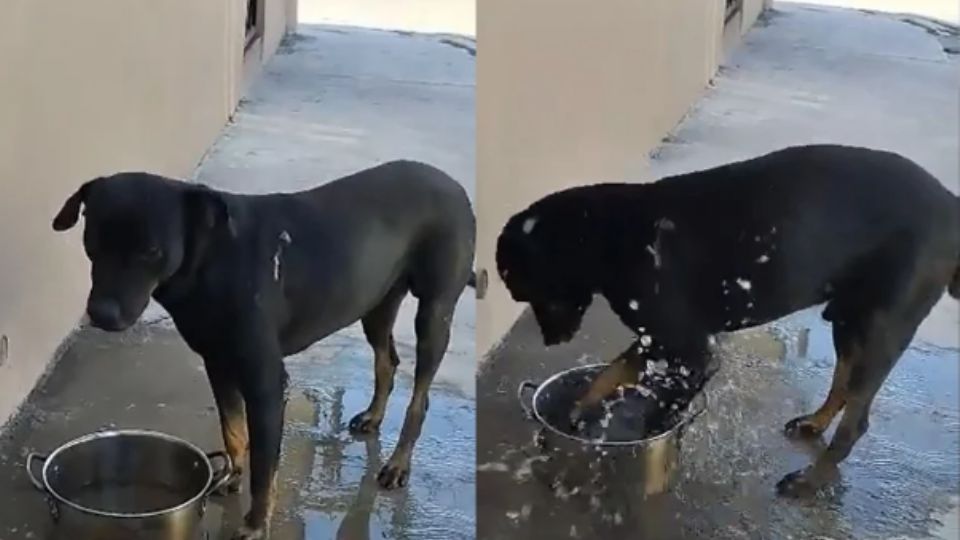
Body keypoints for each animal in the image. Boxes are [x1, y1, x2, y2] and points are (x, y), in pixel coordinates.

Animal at [54, 161, 474, 540]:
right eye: (92, 242)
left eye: (150, 250)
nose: (101, 314)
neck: (212, 259)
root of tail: (453, 184)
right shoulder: (218, 363)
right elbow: (233, 431)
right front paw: (231, 477)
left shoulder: (267, 384)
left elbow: (264, 467)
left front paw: (255, 525)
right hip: (376, 303)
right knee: (387, 360)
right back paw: (373, 416)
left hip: (434, 313)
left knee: (419, 398)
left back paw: (398, 464)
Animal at [496, 144, 960, 498]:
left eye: (527, 292)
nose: (551, 340)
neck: (611, 236)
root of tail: (952, 204)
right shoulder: (655, 341)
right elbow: (607, 375)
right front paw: (577, 410)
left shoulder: (690, 351)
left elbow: (661, 410)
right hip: (849, 320)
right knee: (842, 384)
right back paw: (814, 422)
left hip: (882, 328)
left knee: (856, 422)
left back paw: (810, 481)